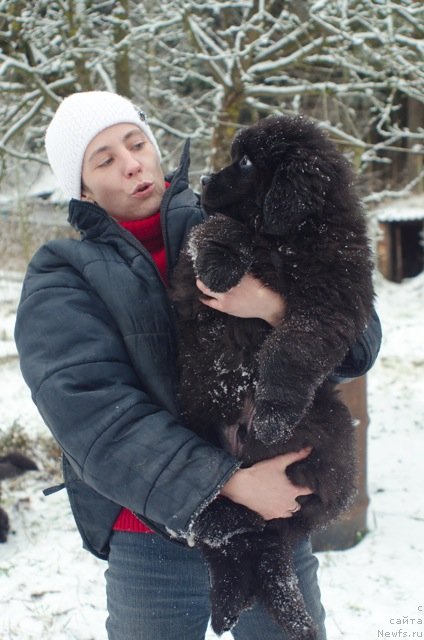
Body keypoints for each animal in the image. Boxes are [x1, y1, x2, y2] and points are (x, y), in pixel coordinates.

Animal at [169, 116, 374, 640]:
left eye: (244, 162)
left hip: (333, 437)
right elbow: (216, 227)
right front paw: (221, 265)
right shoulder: (197, 253)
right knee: (225, 532)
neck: (289, 237)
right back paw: (223, 578)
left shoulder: (329, 303)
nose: (202, 180)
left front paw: (274, 416)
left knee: (267, 540)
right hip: (199, 428)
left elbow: (290, 348)